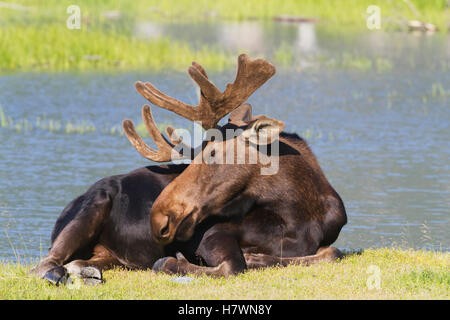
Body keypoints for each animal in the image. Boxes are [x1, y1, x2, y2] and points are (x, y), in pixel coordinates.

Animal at [32, 54, 348, 284]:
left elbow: (333, 252)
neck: (297, 210)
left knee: (81, 261)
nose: (158, 218)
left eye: (212, 152)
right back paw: (58, 273)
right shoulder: (210, 235)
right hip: (89, 210)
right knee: (46, 261)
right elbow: (233, 266)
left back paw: (86, 270)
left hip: (110, 255)